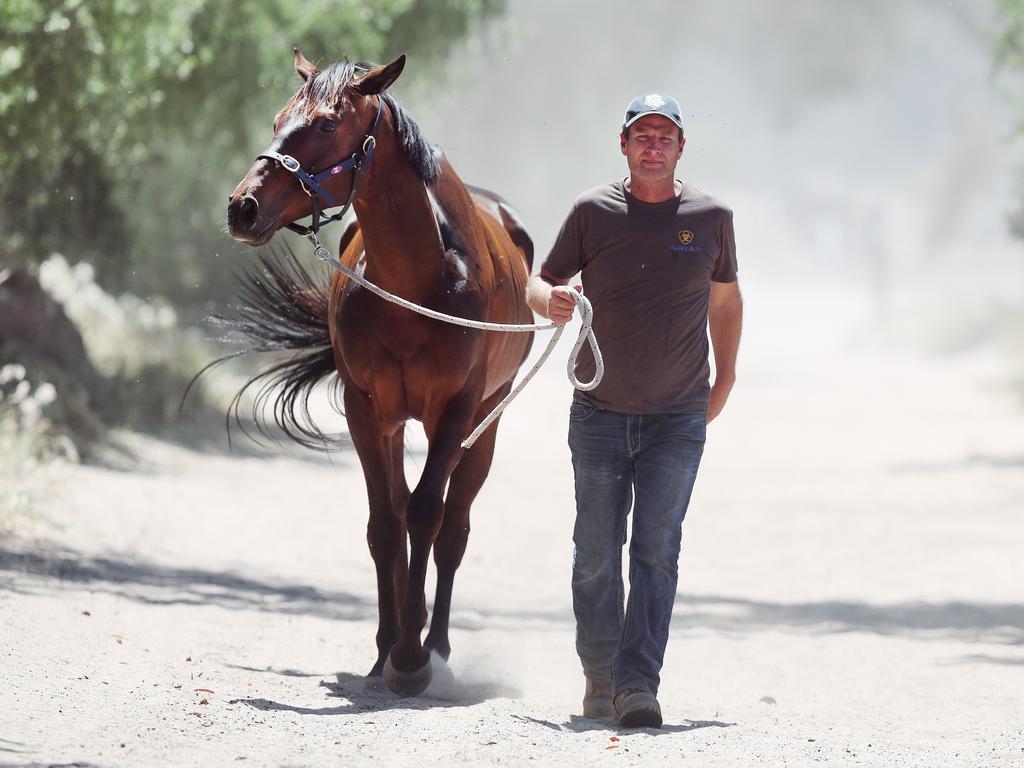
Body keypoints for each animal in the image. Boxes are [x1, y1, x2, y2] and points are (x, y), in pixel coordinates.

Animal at [225, 51, 536, 696]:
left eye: (324, 125)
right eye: (278, 119)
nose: (243, 206)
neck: (417, 284)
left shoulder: (457, 415)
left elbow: (425, 515)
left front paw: (414, 658)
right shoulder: (367, 411)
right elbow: (387, 525)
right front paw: (388, 650)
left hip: (484, 431)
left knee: (453, 530)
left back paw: (436, 647)